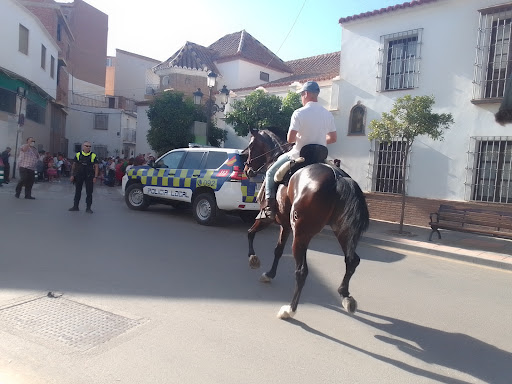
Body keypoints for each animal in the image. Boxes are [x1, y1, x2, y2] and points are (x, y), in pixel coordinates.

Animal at [242, 127, 370, 320]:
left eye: (251, 145)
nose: (247, 168)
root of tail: (338, 177)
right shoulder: (285, 225)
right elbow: (278, 250)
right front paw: (270, 274)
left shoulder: (267, 217)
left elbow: (250, 232)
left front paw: (253, 259)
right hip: (342, 230)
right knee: (352, 260)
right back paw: (345, 296)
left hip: (302, 233)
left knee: (302, 271)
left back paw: (290, 309)